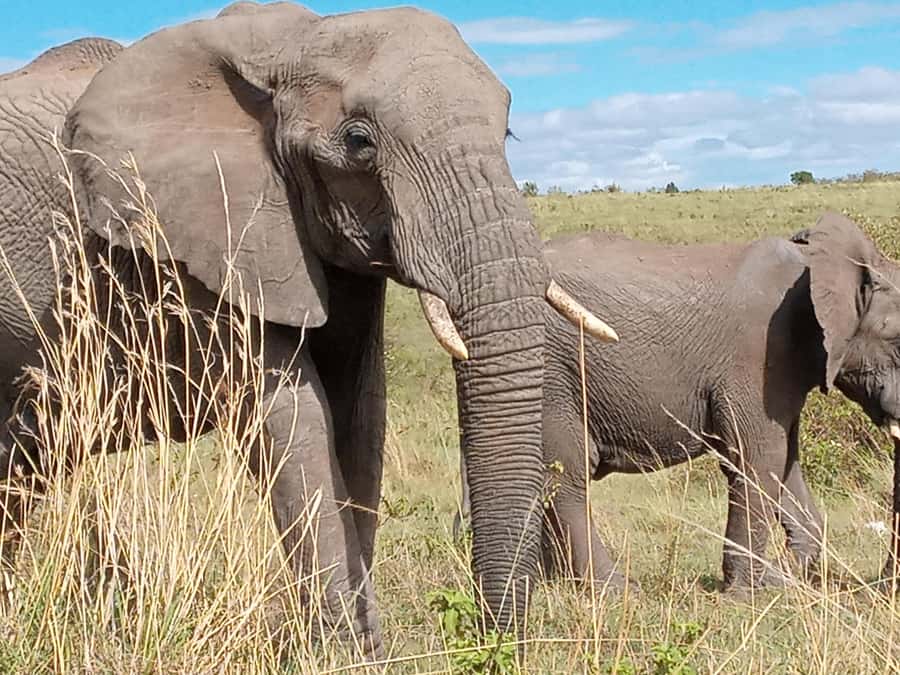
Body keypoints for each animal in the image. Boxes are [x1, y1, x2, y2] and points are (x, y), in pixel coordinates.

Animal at [0, 1, 618, 659]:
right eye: (358, 142)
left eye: (505, 135)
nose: (489, 641)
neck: (291, 40)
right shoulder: (194, 236)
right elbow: (293, 416)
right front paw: (349, 654)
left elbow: (360, 412)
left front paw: (362, 651)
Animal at [456, 213, 900, 593]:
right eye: (896, 340)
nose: (878, 583)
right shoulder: (759, 355)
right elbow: (758, 458)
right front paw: (750, 594)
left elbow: (784, 463)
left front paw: (791, 579)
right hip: (548, 368)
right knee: (566, 475)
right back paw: (614, 590)